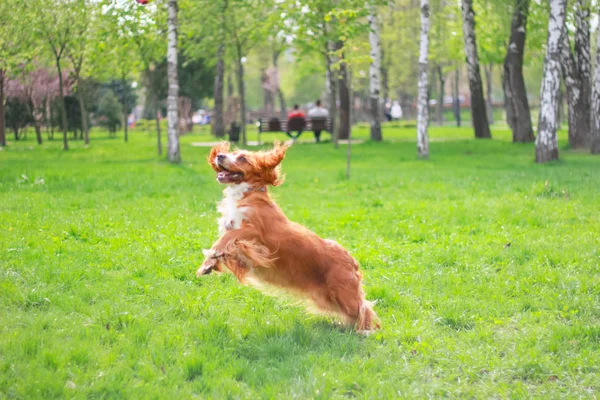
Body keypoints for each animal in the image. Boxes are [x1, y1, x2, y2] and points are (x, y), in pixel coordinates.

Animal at [197, 142, 380, 332]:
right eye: (232, 153)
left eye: (242, 158)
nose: (220, 156)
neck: (246, 195)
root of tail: (352, 261)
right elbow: (225, 243)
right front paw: (207, 265)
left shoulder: (256, 232)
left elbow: (227, 238)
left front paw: (212, 253)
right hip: (328, 298)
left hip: (343, 292)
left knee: (364, 308)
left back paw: (366, 331)